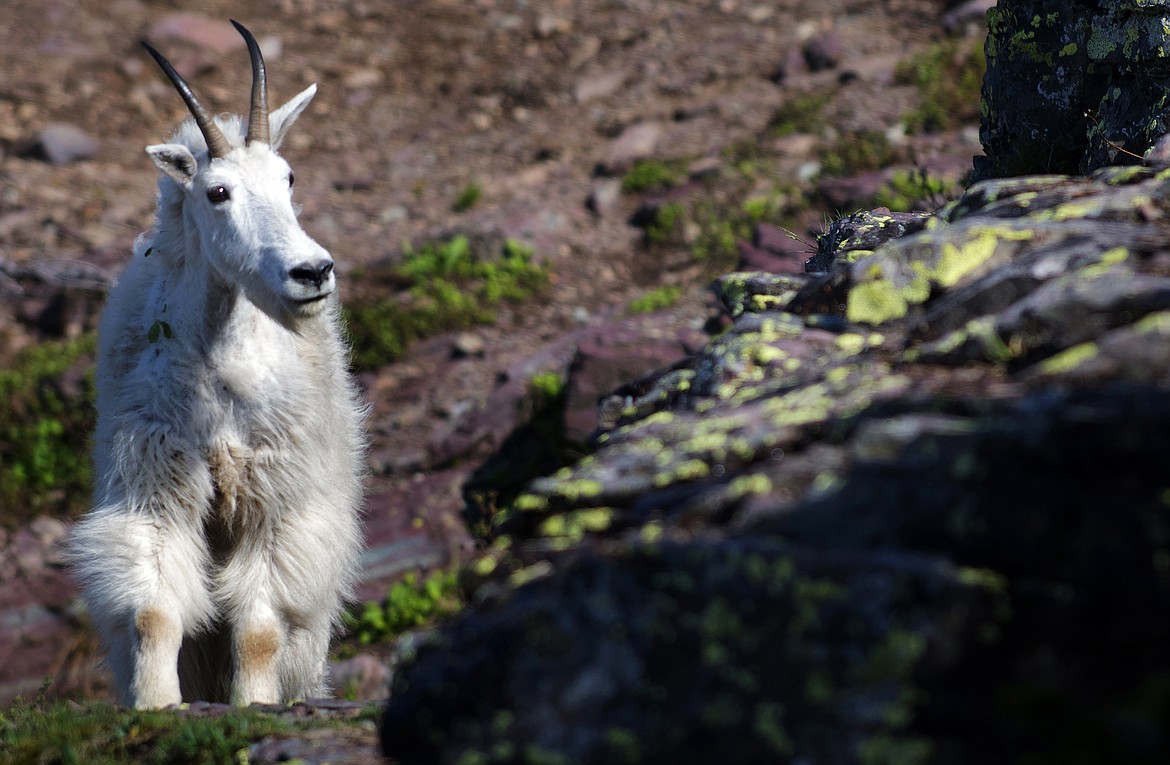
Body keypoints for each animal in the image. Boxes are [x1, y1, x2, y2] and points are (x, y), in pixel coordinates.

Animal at [70, 21, 362, 711]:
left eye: (289, 176)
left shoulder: (275, 501)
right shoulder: (156, 482)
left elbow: (257, 630)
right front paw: (155, 705)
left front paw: (253, 705)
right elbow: (154, 612)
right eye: (217, 191)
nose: (312, 272)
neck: (222, 370)